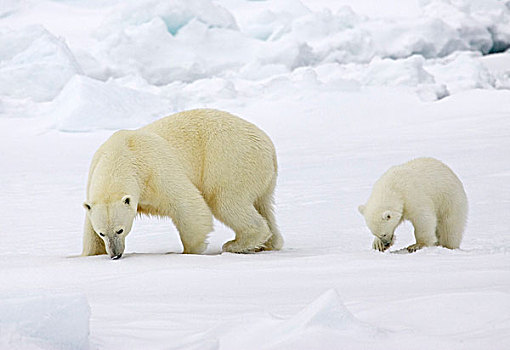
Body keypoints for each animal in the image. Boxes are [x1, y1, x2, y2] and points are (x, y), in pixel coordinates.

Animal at [82, 109, 282, 260]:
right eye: (102, 233)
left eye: (120, 230)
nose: (115, 255)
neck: (120, 154)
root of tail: (269, 147)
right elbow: (89, 227)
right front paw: (89, 254)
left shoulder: (154, 170)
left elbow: (188, 204)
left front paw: (187, 252)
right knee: (263, 205)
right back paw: (268, 243)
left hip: (230, 161)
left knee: (225, 201)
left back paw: (236, 244)